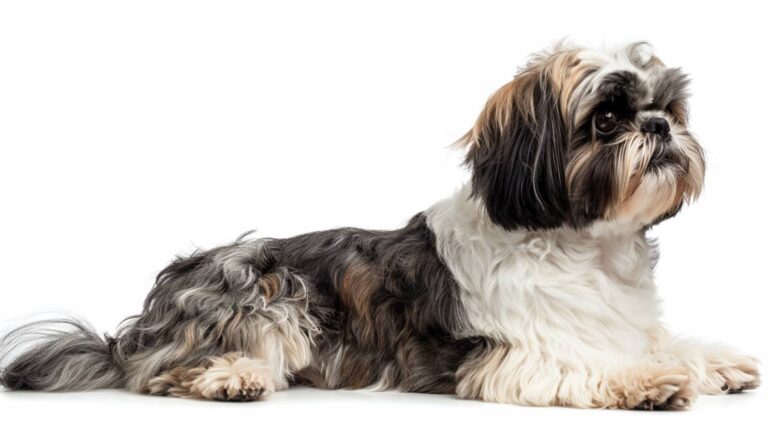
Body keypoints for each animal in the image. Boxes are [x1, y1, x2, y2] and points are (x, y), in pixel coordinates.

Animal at [0, 40, 760, 408]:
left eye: (671, 109)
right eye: (606, 120)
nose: (659, 127)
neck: (584, 247)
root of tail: (142, 325)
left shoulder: (620, 323)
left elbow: (658, 341)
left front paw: (711, 361)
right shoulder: (504, 353)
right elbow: (587, 364)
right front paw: (646, 384)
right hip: (267, 291)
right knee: (161, 376)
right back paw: (230, 378)